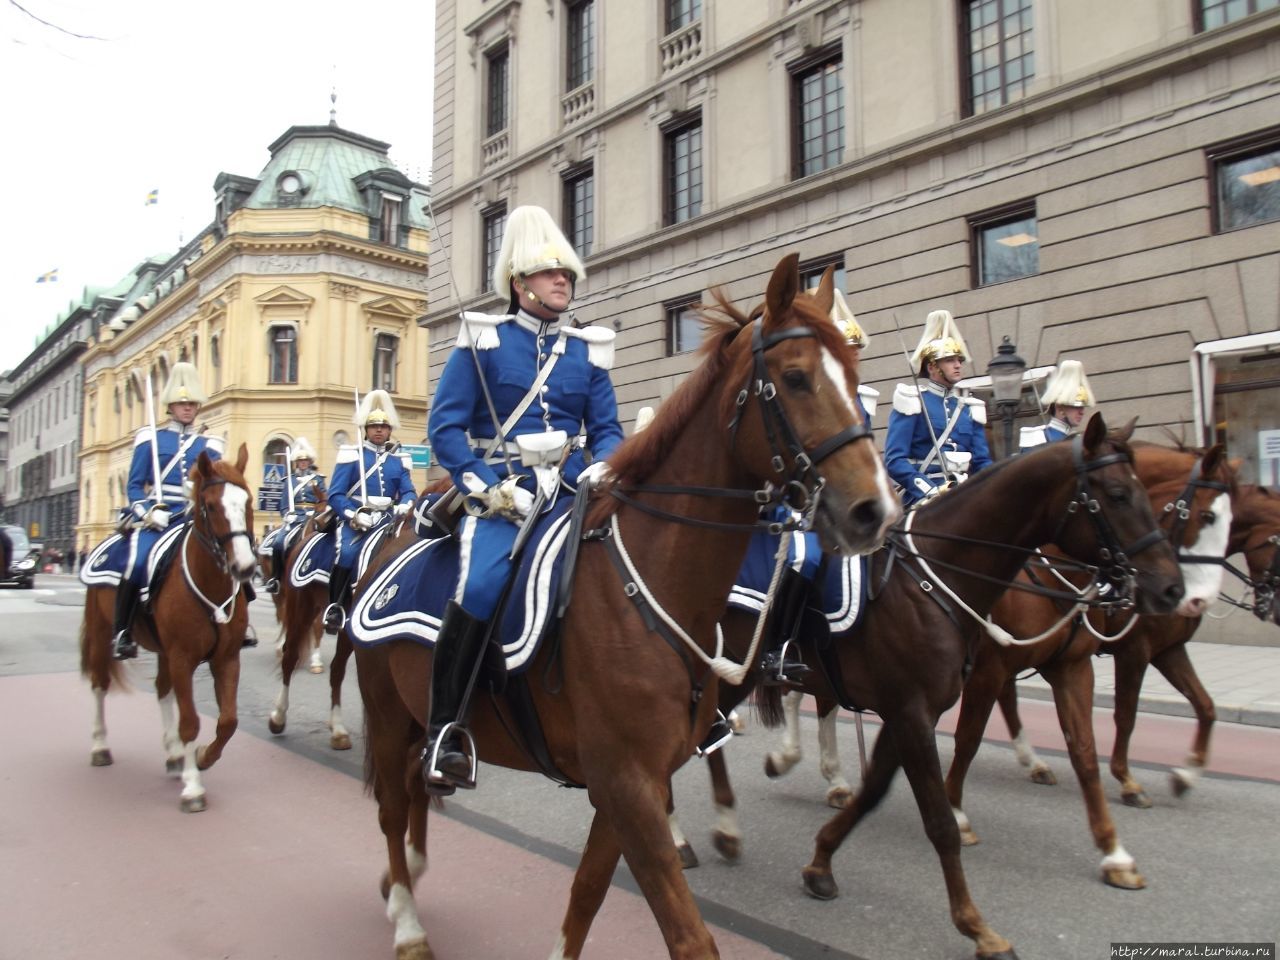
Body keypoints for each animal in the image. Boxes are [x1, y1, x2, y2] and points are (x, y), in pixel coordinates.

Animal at [78, 442, 256, 814]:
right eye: (210, 505)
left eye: (247, 501)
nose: (245, 567)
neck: (210, 583)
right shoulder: (182, 657)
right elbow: (190, 721)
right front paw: (193, 787)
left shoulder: (226, 658)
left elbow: (228, 721)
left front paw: (201, 758)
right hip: (102, 634)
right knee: (100, 685)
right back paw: (100, 747)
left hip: (162, 651)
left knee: (161, 690)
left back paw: (175, 756)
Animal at [345, 256, 896, 960]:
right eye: (796, 378)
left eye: (854, 375)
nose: (876, 512)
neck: (646, 588)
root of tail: (390, 537)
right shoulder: (626, 784)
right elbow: (690, 938)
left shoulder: (631, 786)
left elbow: (585, 896)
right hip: (389, 715)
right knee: (392, 806)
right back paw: (409, 922)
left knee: (414, 795)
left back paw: (405, 876)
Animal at [737, 419, 1182, 960]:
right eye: (1117, 495)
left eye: (1145, 493)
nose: (1172, 589)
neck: (935, 577)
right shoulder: (920, 710)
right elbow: (943, 814)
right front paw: (977, 926)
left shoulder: (923, 708)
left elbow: (877, 791)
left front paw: (821, 862)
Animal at [947, 440, 1233, 890]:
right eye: (1207, 515)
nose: (1185, 596)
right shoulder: (1132, 651)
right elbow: (968, 738)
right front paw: (956, 816)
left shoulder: (1079, 666)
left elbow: (1086, 749)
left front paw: (1115, 851)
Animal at [988, 483, 1280, 808]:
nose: (1277, 611)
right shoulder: (1134, 651)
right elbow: (1126, 715)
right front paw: (1127, 781)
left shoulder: (1168, 650)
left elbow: (1205, 706)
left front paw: (1185, 776)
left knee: (1006, 695)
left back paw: (1034, 763)